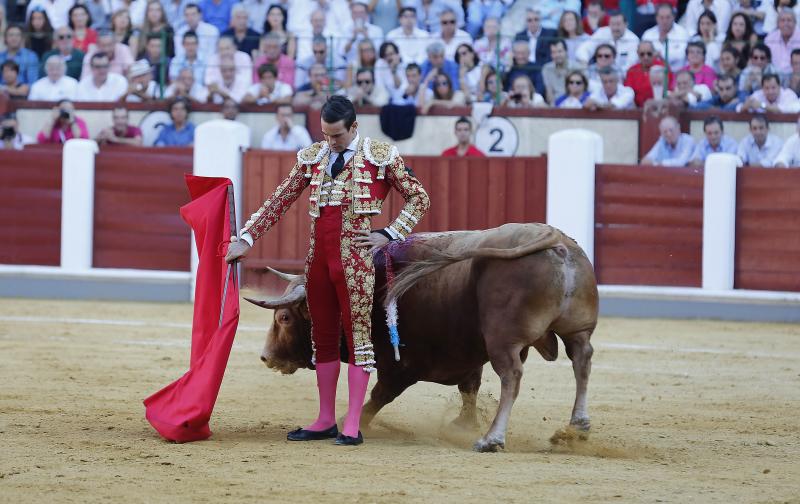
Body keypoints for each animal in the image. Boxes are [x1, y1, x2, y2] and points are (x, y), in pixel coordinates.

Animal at [247, 222, 596, 450]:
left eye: (284, 317)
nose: (266, 356)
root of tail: (557, 243)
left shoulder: (400, 367)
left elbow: (379, 396)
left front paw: (351, 423)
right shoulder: (468, 360)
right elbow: (470, 389)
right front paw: (462, 424)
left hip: (503, 341)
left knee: (512, 375)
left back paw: (492, 438)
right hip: (577, 329)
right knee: (581, 360)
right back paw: (578, 427)